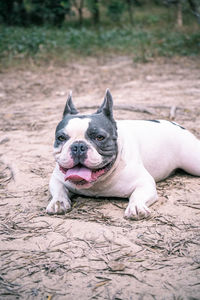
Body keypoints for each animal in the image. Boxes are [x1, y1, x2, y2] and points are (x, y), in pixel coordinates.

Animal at [46, 90, 200, 219]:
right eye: (61, 138)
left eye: (100, 137)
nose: (78, 146)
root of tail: (177, 124)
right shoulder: (57, 178)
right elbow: (59, 189)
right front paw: (58, 202)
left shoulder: (145, 182)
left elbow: (138, 195)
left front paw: (136, 206)